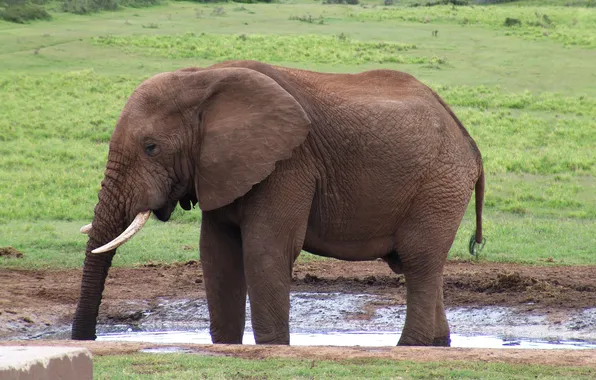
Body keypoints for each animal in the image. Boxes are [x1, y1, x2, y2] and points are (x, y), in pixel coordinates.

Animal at [72, 58, 486, 346]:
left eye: (151, 148)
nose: (86, 338)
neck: (204, 77)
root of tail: (467, 139)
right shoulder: (222, 168)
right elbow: (217, 253)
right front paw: (227, 346)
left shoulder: (287, 164)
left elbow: (265, 251)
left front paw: (272, 346)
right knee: (425, 265)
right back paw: (438, 344)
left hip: (438, 185)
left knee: (419, 261)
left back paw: (408, 347)